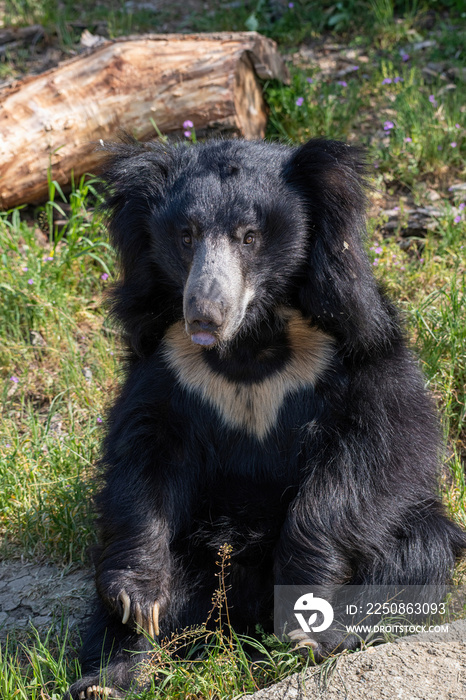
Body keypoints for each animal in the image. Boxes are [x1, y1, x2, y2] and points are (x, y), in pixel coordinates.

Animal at [68, 135, 466, 696]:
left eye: (250, 236)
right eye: (186, 236)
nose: (204, 315)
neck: (248, 344)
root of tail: (239, 619)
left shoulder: (352, 347)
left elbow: (382, 445)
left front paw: (304, 604)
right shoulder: (167, 359)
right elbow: (141, 456)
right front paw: (138, 598)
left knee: (417, 551)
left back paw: (316, 641)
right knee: (118, 611)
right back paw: (109, 676)